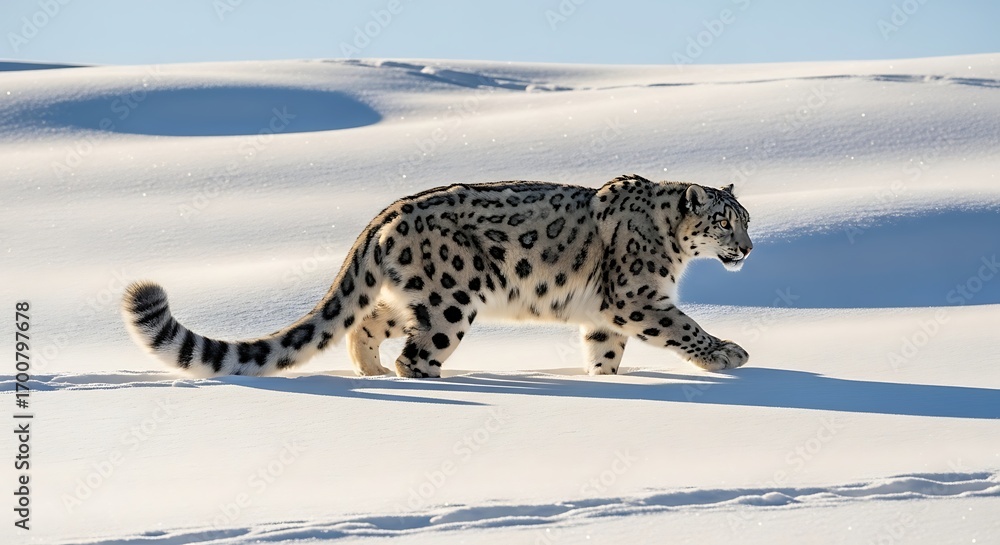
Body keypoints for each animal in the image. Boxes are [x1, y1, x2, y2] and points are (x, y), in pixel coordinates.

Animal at [122, 174, 753, 378]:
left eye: (746, 220)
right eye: (725, 221)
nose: (747, 250)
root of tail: (385, 213)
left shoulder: (604, 316)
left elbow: (605, 351)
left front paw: (604, 381)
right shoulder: (637, 297)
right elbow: (684, 327)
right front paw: (729, 355)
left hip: (417, 296)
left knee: (368, 322)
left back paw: (372, 370)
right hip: (452, 299)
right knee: (418, 352)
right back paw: (426, 377)